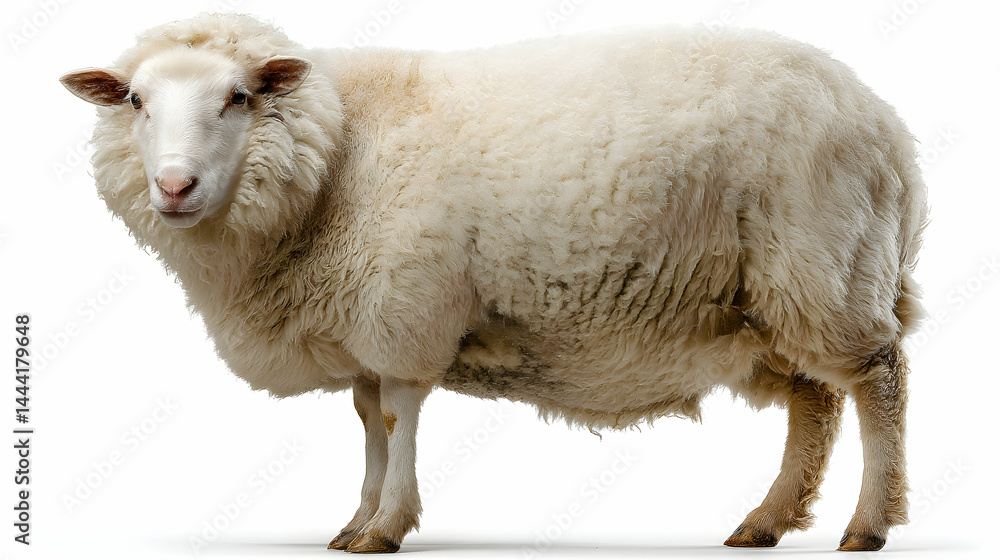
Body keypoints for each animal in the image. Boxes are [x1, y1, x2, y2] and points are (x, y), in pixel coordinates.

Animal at [60, 12, 928, 553]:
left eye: (237, 97)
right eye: (135, 101)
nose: (174, 187)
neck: (335, 153)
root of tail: (887, 124)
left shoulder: (404, 307)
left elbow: (397, 418)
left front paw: (385, 526)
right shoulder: (365, 323)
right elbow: (368, 422)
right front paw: (355, 520)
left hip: (825, 264)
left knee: (877, 381)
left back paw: (869, 524)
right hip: (779, 294)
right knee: (814, 402)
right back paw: (767, 520)